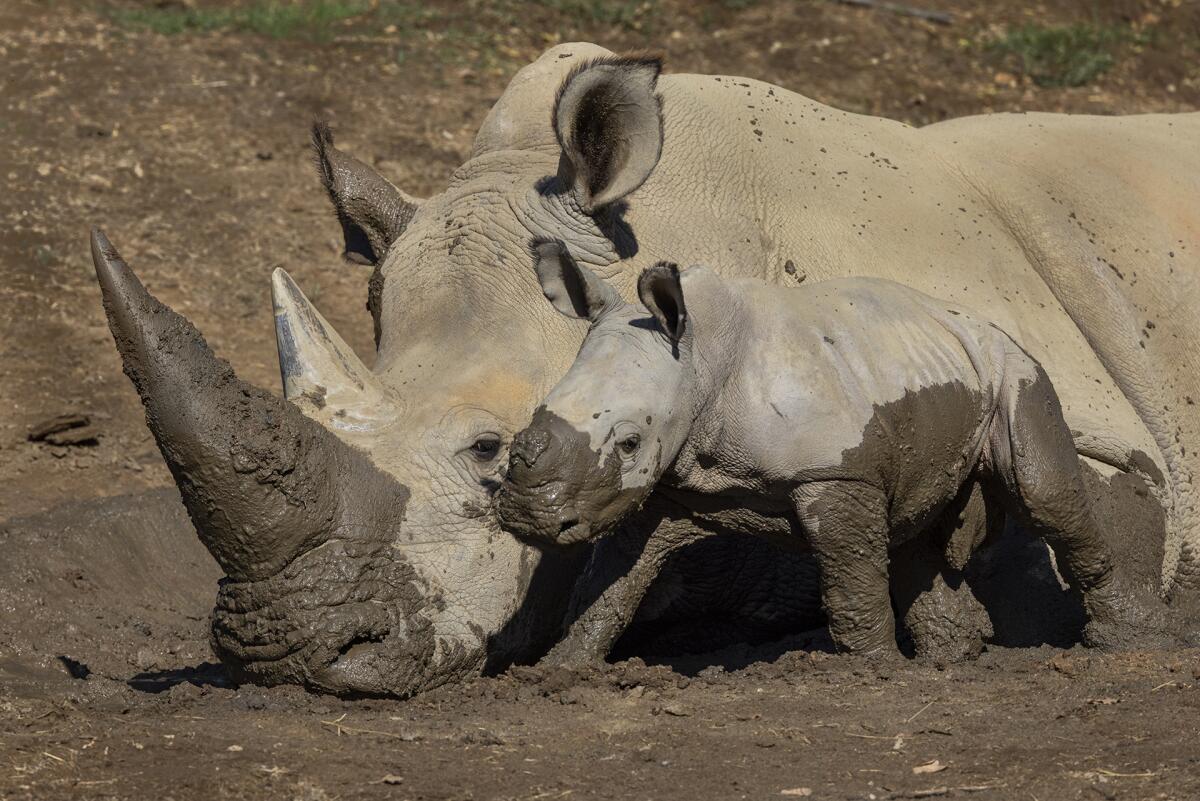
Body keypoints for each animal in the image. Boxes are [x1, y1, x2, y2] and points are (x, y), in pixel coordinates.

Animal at [499, 242, 1152, 657]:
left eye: (630, 439)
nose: (526, 514)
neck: (702, 358)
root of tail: (988, 326)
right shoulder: (656, 484)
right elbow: (609, 585)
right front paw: (559, 673)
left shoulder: (834, 474)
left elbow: (849, 577)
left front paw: (872, 670)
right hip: (932, 374)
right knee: (913, 527)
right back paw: (953, 662)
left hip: (1014, 367)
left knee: (1041, 493)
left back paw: (1119, 645)